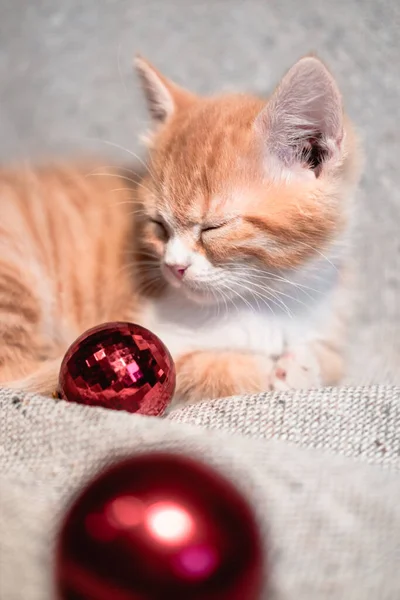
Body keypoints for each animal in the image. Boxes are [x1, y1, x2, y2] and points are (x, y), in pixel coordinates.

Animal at [0, 56, 360, 406]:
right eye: (159, 225)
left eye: (213, 227)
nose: (174, 267)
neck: (263, 303)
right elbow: (203, 372)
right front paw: (268, 371)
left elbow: (332, 360)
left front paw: (305, 366)